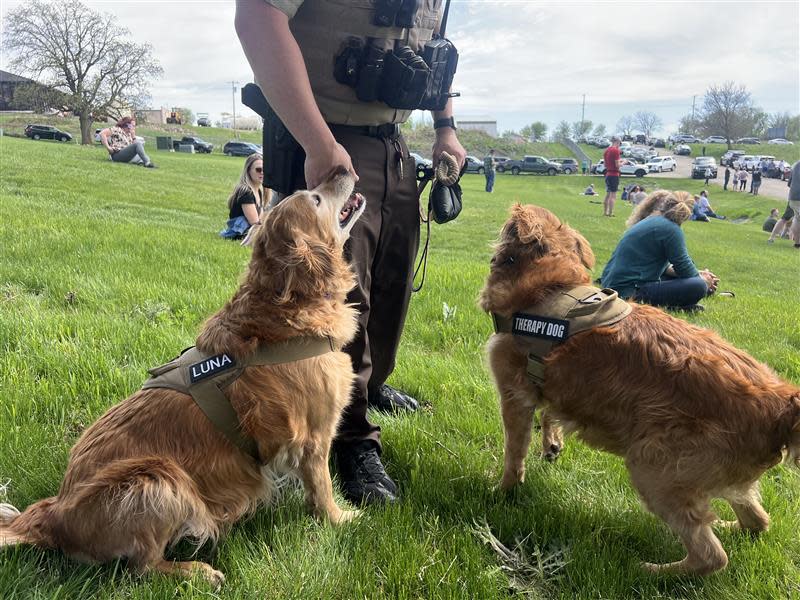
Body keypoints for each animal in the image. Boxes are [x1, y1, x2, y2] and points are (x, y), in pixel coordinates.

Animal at [0, 169, 368, 584]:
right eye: (315, 199)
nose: (344, 169)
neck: (287, 310)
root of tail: (55, 514)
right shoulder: (315, 437)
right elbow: (322, 488)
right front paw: (341, 519)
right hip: (160, 480)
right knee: (142, 568)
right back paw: (197, 571)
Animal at [482, 203, 800, 576]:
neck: (550, 288)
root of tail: (780, 401)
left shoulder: (514, 396)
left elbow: (514, 453)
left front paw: (502, 490)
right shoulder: (551, 387)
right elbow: (550, 413)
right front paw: (552, 443)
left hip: (654, 468)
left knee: (711, 555)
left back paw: (649, 570)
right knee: (756, 521)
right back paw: (727, 526)